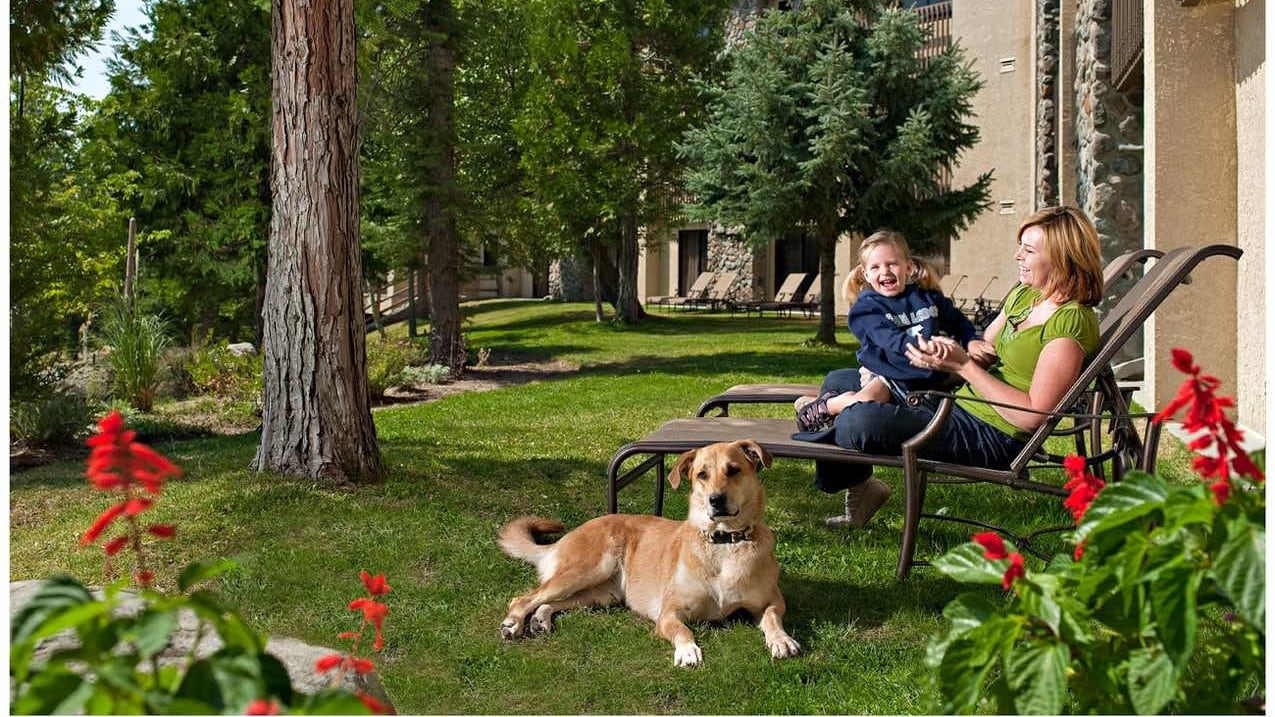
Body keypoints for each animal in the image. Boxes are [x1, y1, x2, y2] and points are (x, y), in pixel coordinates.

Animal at [494, 438, 795, 668]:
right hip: (588, 569)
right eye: (702, 475)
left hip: (601, 594)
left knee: (549, 602)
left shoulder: (771, 601)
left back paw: (541, 620)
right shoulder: (669, 613)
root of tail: (569, 535)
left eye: (733, 470)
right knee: (524, 598)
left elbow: (772, 618)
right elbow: (682, 629)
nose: (716, 500)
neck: (723, 544)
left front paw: (781, 639)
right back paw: (513, 623)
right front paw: (687, 650)